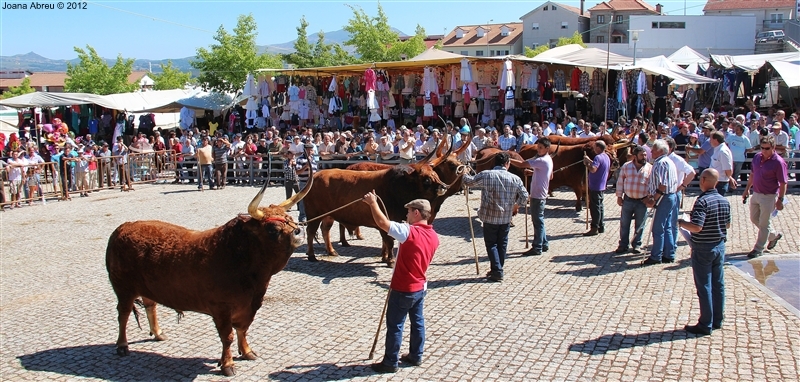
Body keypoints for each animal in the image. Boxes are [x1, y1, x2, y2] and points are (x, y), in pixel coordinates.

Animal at [108, 180, 312, 376]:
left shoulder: (249, 306)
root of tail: (123, 228)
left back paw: (158, 333)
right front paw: (227, 364)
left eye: (290, 219)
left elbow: (243, 329)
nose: (299, 231)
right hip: (123, 289)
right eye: (273, 229)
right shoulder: (221, 308)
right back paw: (122, 346)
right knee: (123, 314)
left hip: (147, 287)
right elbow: (227, 337)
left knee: (150, 305)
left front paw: (247, 352)